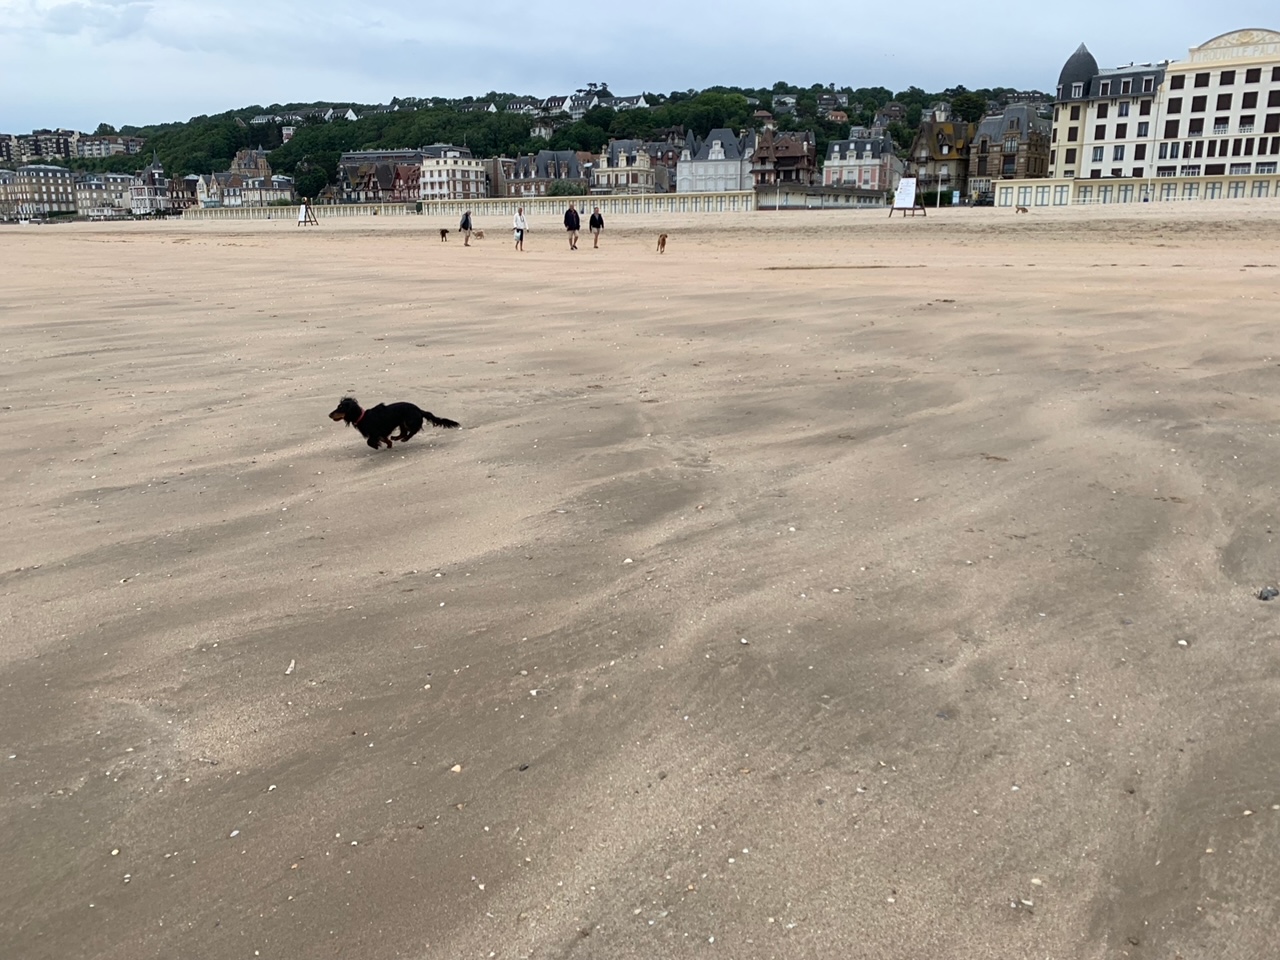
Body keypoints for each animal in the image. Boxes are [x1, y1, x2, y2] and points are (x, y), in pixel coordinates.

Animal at [330, 396, 460, 453]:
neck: (362, 417)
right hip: (402, 422)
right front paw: (389, 444)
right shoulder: (380, 433)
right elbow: (385, 439)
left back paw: (404, 439)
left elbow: (370, 441)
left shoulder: (375, 433)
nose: (329, 415)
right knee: (403, 432)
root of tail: (418, 409)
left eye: (340, 408)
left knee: (412, 431)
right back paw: (396, 438)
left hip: (408, 420)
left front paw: (376, 446)